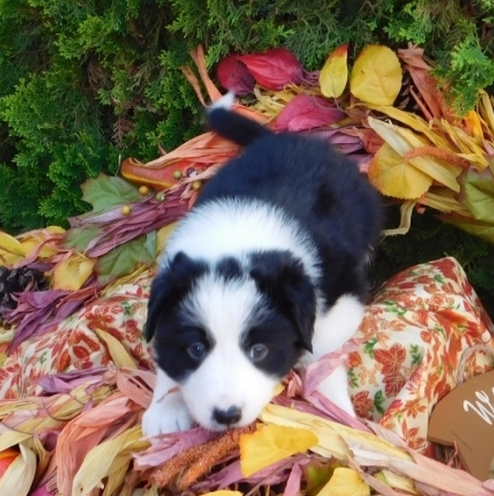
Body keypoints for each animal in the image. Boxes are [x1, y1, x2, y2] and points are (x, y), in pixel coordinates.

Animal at [143, 93, 382, 434]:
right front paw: (165, 408)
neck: (236, 237)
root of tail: (279, 138)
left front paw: (334, 410)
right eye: (196, 349)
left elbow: (322, 350)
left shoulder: (346, 291)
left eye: (259, 351)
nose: (227, 415)